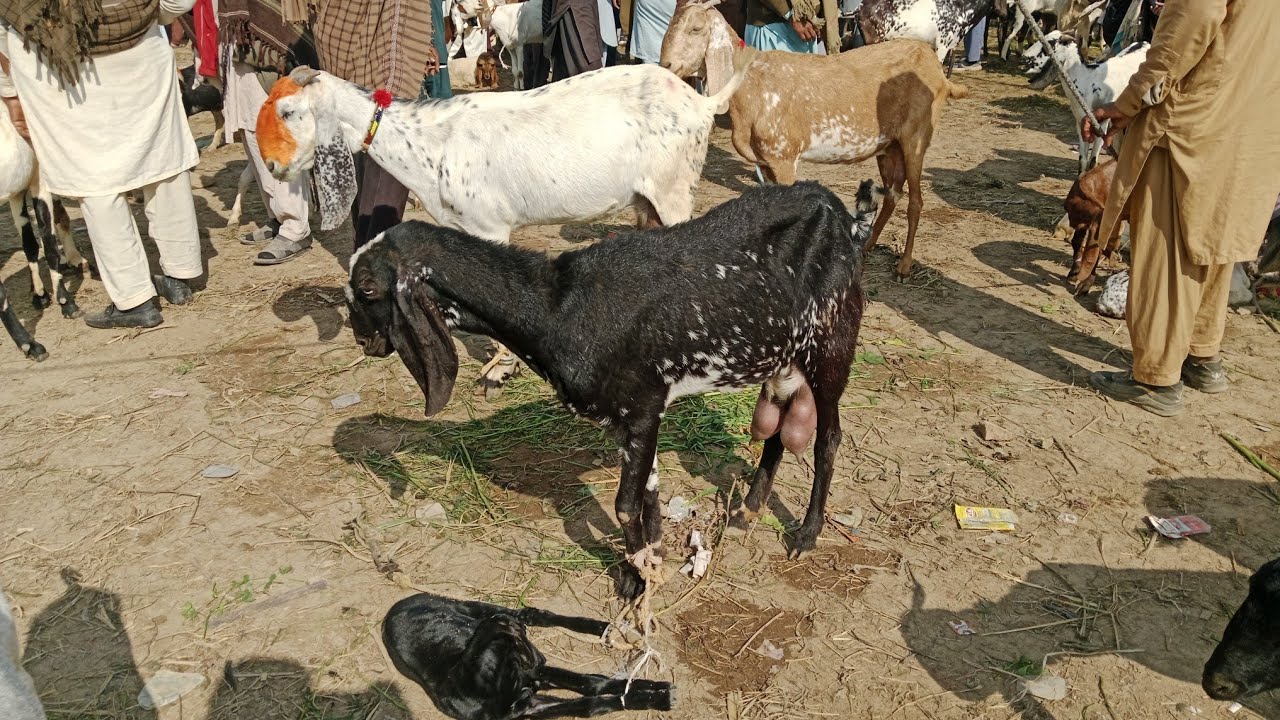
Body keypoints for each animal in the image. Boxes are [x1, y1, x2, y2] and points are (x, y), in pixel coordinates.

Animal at [257, 59, 748, 394]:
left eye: (288, 111)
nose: (274, 166)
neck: (428, 143)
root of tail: (702, 102)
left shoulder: (488, 224)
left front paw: (498, 370)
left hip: (674, 188)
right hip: (650, 201)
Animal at [346, 181, 880, 598]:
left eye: (368, 288)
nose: (362, 340)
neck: (558, 306)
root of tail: (842, 215)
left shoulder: (642, 408)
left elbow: (624, 505)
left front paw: (639, 578)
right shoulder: (638, 418)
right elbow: (649, 494)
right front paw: (652, 560)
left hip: (832, 345)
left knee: (829, 438)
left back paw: (806, 535)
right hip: (785, 357)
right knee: (778, 429)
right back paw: (748, 509)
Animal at [383, 592, 674, 719]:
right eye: (518, 641)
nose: (540, 659)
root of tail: (392, 609)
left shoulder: (535, 675)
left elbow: (593, 685)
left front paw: (658, 690)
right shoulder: (528, 706)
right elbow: (590, 701)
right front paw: (658, 695)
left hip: (473, 606)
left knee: (531, 613)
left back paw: (600, 626)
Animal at [660, 9, 964, 279]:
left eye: (696, 29)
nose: (667, 66)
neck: (750, 83)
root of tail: (939, 72)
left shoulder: (784, 155)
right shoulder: (767, 160)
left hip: (916, 138)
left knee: (916, 201)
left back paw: (904, 267)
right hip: (889, 147)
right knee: (892, 195)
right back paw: (867, 246)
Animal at [1023, 31, 1147, 173]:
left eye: (1050, 43)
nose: (1024, 57)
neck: (1086, 76)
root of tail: (1145, 42)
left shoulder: (1102, 122)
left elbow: (1092, 160)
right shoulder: (1080, 121)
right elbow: (1082, 159)